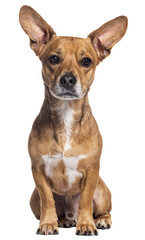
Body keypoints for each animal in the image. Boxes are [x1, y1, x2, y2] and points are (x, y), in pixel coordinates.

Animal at [19, 5, 128, 236]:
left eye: (86, 61)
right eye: (53, 59)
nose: (68, 79)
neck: (66, 114)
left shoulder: (92, 171)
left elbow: (86, 200)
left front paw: (86, 225)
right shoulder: (38, 171)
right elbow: (48, 200)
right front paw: (48, 223)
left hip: (102, 192)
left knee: (103, 210)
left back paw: (99, 220)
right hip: (33, 198)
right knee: (51, 206)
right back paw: (62, 220)